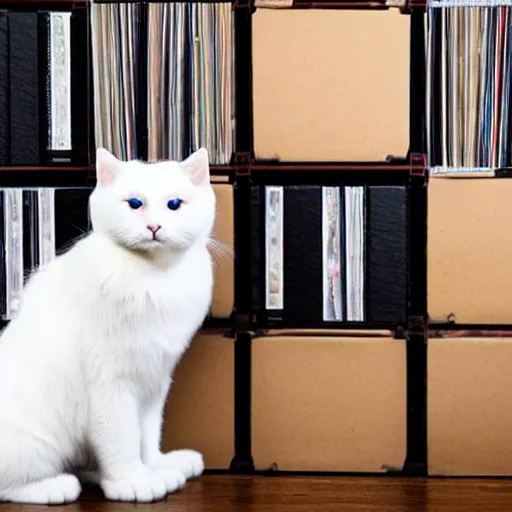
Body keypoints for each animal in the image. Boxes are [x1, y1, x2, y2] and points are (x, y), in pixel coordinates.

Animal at [0, 147, 216, 504]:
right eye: (134, 203)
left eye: (174, 204)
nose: (154, 226)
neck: (156, 278)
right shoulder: (111, 384)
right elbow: (122, 440)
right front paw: (134, 482)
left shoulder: (154, 383)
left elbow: (147, 435)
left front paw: (155, 467)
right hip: (34, 445)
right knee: (10, 485)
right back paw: (57, 486)